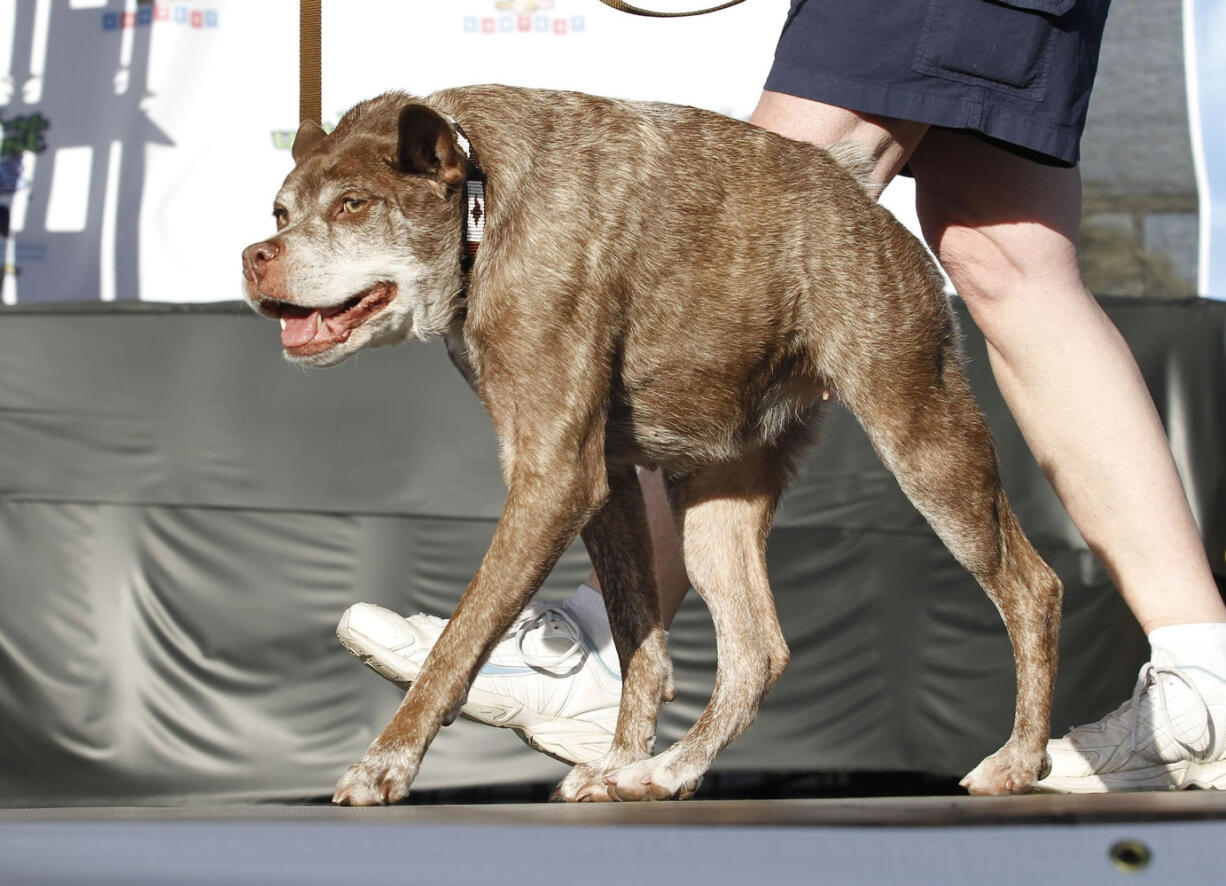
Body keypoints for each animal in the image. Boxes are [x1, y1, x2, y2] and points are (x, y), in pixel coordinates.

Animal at [241, 86, 1064, 808]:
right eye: (280, 211)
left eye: (353, 205)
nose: (254, 255)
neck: (482, 199)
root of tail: (859, 197)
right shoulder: (602, 478)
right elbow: (641, 641)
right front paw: (618, 762)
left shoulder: (555, 481)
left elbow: (460, 642)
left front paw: (385, 764)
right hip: (716, 499)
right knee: (756, 651)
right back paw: (670, 771)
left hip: (925, 442)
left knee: (1033, 588)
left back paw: (1019, 761)